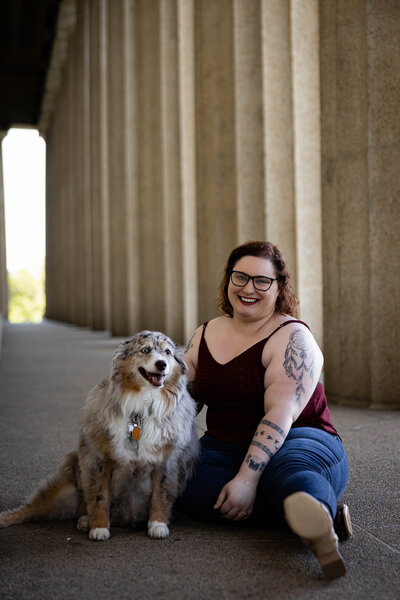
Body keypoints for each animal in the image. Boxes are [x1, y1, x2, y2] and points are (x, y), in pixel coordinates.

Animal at [0, 330, 200, 540]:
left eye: (168, 352)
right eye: (145, 350)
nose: (161, 364)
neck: (142, 411)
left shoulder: (166, 462)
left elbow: (161, 495)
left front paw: (158, 525)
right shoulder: (99, 459)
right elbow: (99, 496)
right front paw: (99, 528)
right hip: (63, 488)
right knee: (32, 508)